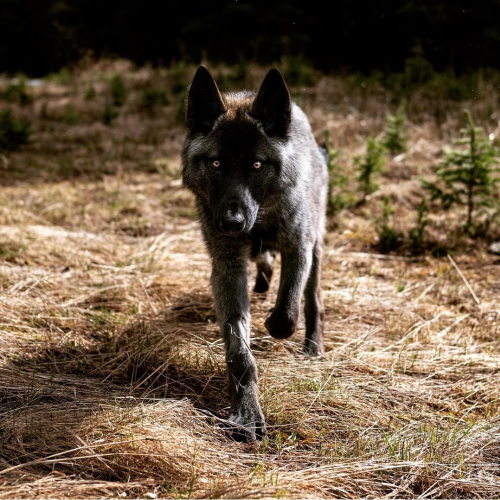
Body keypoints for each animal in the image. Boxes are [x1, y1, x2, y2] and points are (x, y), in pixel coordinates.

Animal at [181, 66, 328, 442]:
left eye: (257, 165)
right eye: (216, 163)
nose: (231, 223)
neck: (260, 221)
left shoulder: (299, 248)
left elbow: (286, 312)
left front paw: (274, 323)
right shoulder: (227, 267)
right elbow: (239, 355)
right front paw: (245, 415)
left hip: (317, 246)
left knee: (312, 298)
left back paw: (313, 346)